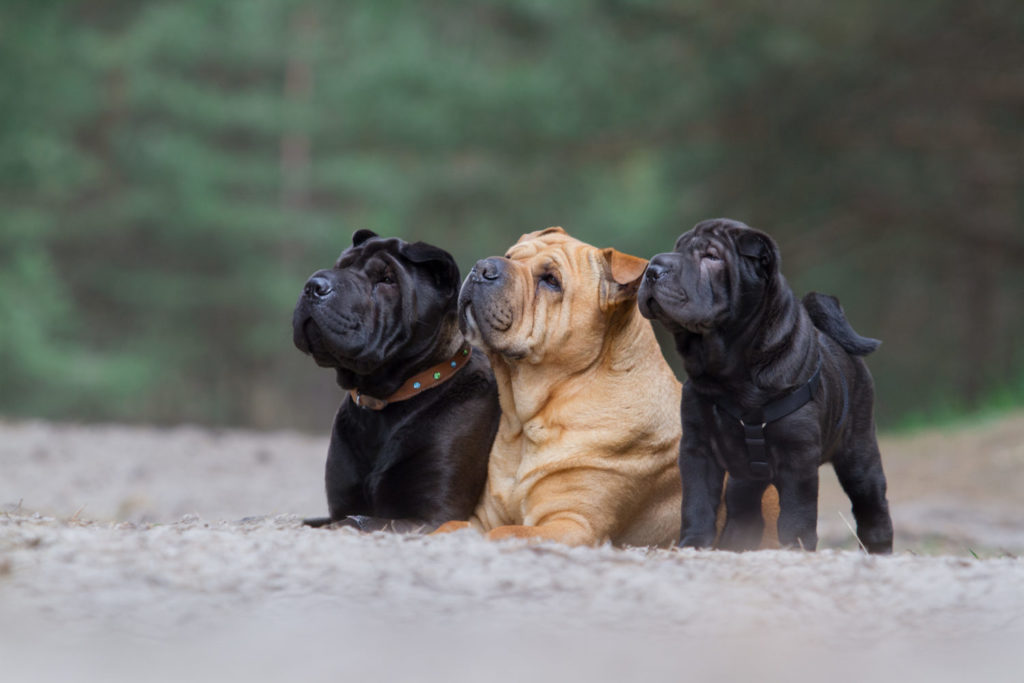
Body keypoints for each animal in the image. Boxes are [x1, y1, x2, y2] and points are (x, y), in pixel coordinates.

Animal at [292, 232, 499, 532]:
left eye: (387, 279)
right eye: (340, 266)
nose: (314, 285)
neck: (382, 403)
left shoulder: (433, 516)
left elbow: (352, 523)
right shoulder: (340, 506)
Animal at [432, 227, 679, 548]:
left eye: (551, 280)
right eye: (510, 256)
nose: (483, 267)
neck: (528, 423)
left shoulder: (572, 523)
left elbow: (505, 533)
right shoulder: (485, 516)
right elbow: (450, 526)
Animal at [634, 219, 892, 557]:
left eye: (712, 257)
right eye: (678, 249)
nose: (653, 268)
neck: (729, 371)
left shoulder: (797, 455)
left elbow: (796, 513)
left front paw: (796, 548)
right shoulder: (697, 447)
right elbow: (697, 503)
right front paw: (693, 545)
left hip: (858, 454)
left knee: (871, 503)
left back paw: (879, 548)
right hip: (745, 477)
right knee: (744, 512)